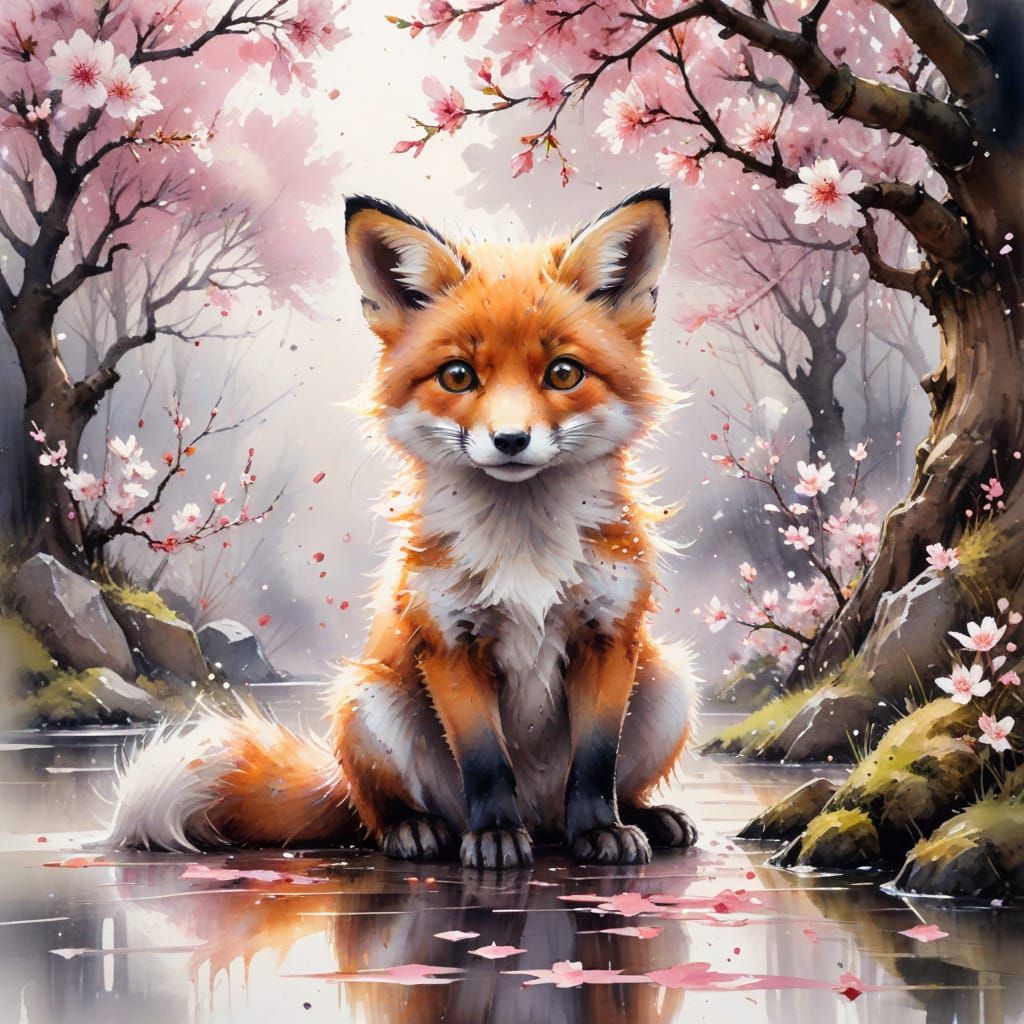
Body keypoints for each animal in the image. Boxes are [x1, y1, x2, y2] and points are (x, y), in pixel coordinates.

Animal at [109, 186, 699, 869]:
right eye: (458, 376)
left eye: (563, 373)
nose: (510, 441)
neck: (524, 552)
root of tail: (542, 817)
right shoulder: (450, 641)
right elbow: (485, 761)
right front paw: (494, 835)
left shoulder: (607, 635)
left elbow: (597, 761)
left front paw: (600, 830)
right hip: (365, 703)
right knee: (377, 810)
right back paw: (417, 829)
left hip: (669, 682)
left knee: (605, 787)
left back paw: (643, 818)